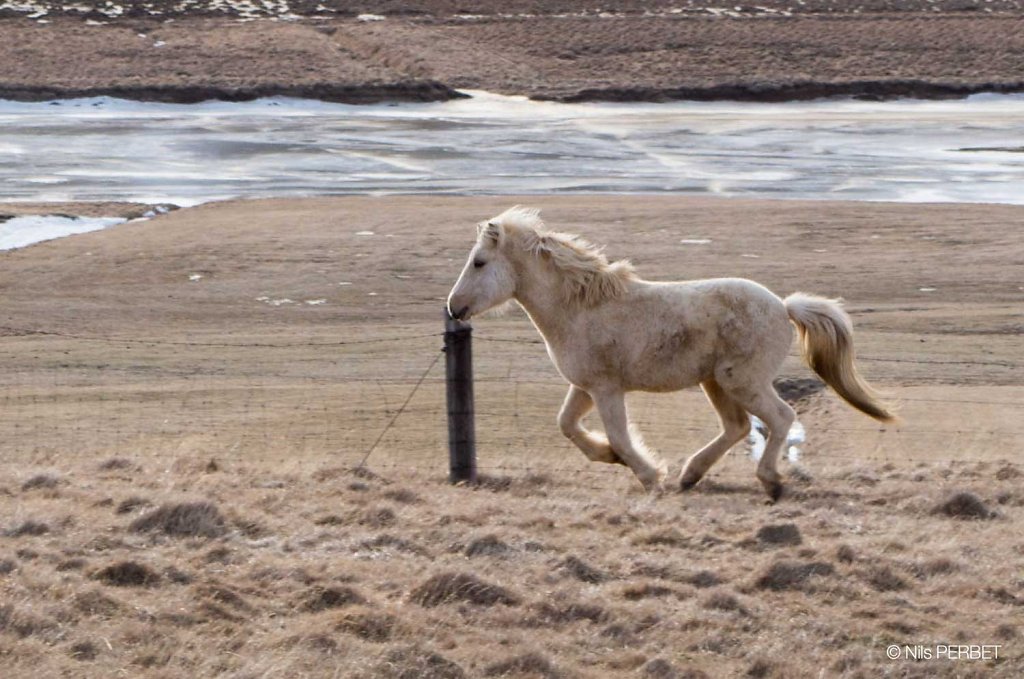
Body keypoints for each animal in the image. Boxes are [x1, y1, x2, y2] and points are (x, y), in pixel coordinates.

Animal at [448, 205, 897, 499]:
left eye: (479, 262)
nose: (454, 307)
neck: (580, 309)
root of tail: (784, 306)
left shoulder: (607, 389)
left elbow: (617, 433)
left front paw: (648, 475)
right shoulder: (585, 387)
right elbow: (568, 425)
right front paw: (612, 458)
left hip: (743, 381)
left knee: (780, 418)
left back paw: (769, 480)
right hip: (715, 382)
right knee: (736, 427)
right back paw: (690, 476)